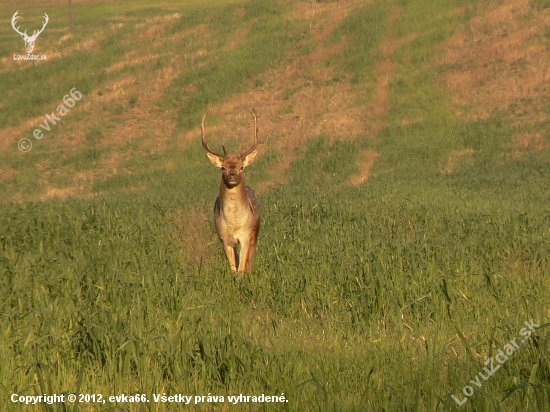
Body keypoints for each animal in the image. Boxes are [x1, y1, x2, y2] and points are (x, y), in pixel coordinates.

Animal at [203, 108, 264, 276]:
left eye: (241, 167)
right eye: (223, 168)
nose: (232, 177)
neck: (234, 223)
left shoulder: (245, 236)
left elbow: (241, 269)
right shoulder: (225, 239)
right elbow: (233, 269)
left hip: (255, 231)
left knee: (250, 261)